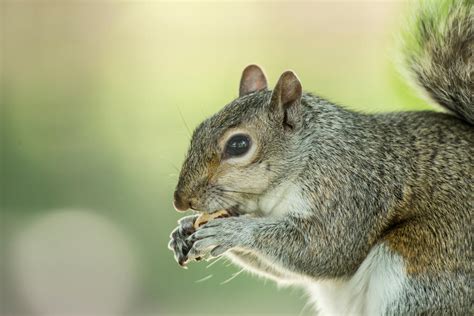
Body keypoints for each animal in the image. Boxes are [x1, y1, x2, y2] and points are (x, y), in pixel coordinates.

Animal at [168, 0, 472, 314]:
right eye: (199, 129)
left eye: (239, 145)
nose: (181, 201)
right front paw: (183, 229)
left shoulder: (350, 190)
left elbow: (324, 249)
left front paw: (231, 231)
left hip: (421, 268)